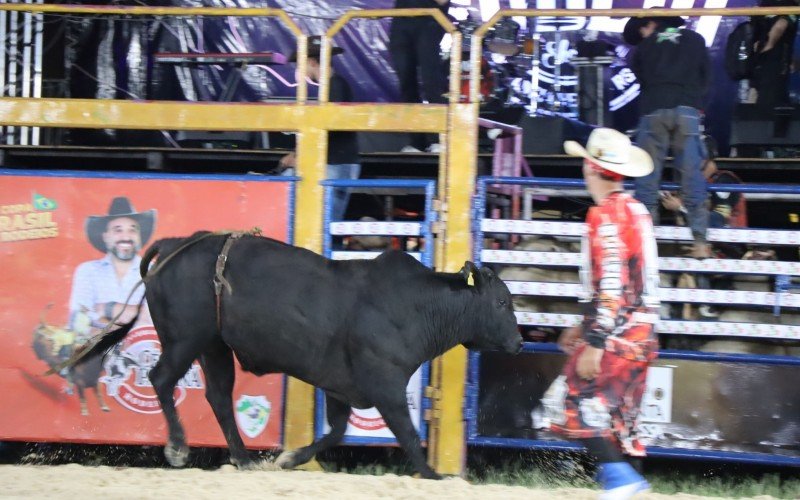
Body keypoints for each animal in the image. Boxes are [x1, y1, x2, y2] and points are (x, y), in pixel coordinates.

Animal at [73, 232, 524, 478]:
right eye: (502, 301)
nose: (519, 343)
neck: (418, 305)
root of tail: (177, 244)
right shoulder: (386, 384)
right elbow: (409, 435)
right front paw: (434, 474)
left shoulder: (342, 388)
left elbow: (335, 431)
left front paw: (290, 459)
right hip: (185, 338)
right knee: (162, 379)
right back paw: (180, 447)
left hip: (214, 347)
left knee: (218, 396)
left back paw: (244, 460)